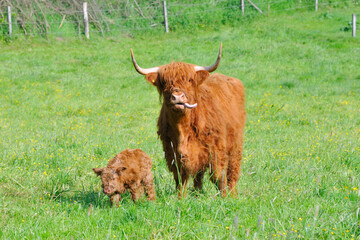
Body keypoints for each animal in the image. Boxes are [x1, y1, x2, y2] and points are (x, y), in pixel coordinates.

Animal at [131, 44, 246, 198]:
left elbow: (218, 176)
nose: (178, 97)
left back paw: (233, 193)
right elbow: (181, 178)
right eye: (164, 82)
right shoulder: (172, 152)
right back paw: (198, 192)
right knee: (199, 173)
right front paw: (181, 198)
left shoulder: (216, 149)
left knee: (232, 171)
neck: (183, 129)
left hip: (235, 144)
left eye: (189, 80)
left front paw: (225, 197)